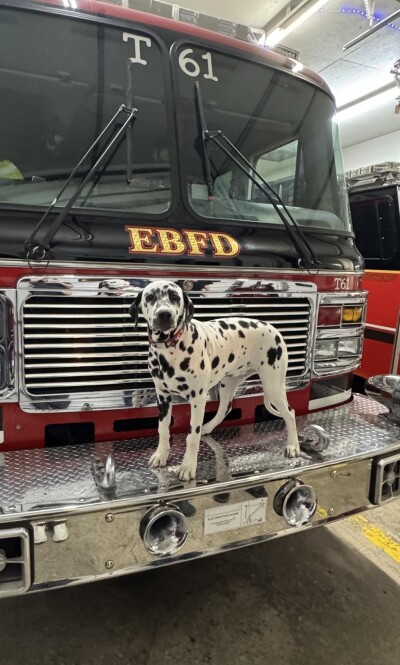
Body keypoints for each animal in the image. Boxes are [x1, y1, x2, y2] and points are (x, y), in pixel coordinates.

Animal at [130, 278, 298, 478]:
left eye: (175, 297)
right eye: (150, 297)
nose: (164, 314)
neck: (171, 350)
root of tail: (273, 329)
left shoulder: (197, 399)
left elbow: (192, 436)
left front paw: (188, 466)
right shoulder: (162, 396)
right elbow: (162, 429)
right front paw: (161, 454)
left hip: (273, 386)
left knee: (290, 413)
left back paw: (293, 445)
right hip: (228, 384)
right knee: (225, 408)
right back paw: (208, 427)